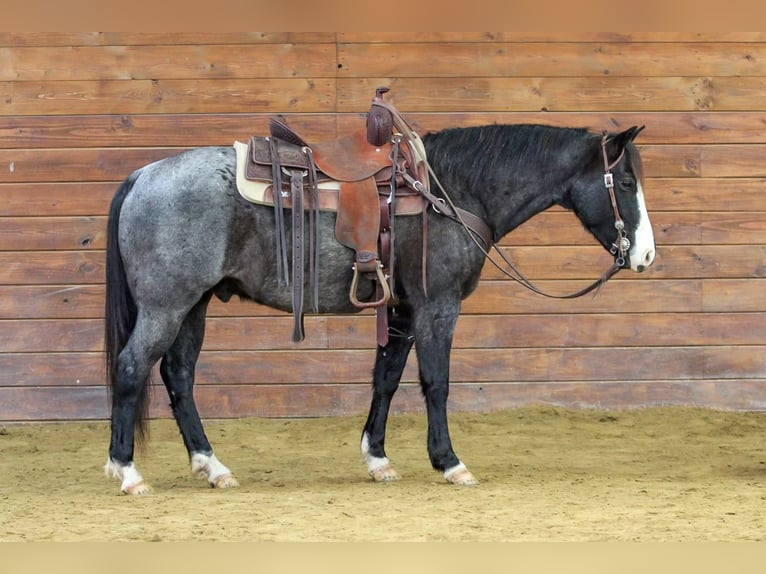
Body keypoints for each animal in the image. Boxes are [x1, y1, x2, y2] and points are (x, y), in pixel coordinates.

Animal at [103, 121, 656, 494]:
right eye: (626, 184)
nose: (646, 256)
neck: (449, 191)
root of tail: (142, 175)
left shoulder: (403, 310)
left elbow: (386, 377)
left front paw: (377, 459)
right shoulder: (437, 305)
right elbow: (436, 382)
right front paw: (449, 462)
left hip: (192, 306)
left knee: (178, 376)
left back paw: (212, 467)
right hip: (167, 306)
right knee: (131, 368)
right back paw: (128, 471)